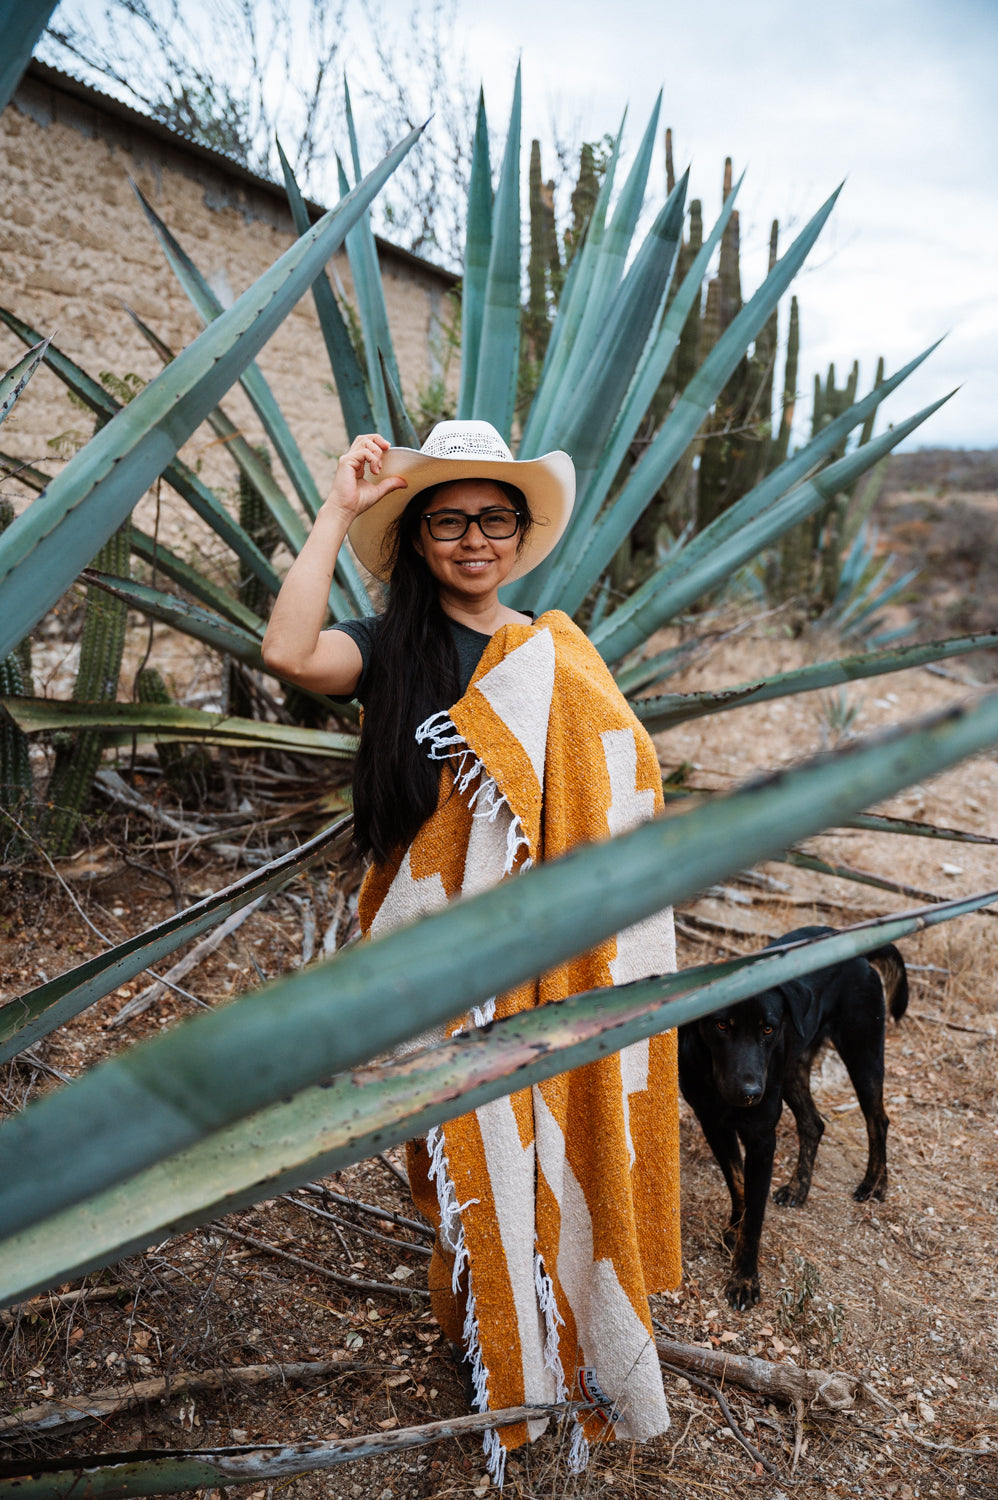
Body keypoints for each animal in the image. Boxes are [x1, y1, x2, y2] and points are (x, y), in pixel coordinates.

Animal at [681, 930, 906, 1308]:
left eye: (768, 1029)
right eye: (721, 1025)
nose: (749, 1092)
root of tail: (853, 944)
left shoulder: (762, 1138)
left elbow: (756, 1212)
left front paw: (744, 1279)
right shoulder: (713, 1125)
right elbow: (738, 1185)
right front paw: (734, 1231)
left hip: (863, 1055)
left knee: (879, 1120)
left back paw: (876, 1184)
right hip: (793, 1071)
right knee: (814, 1123)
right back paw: (799, 1187)